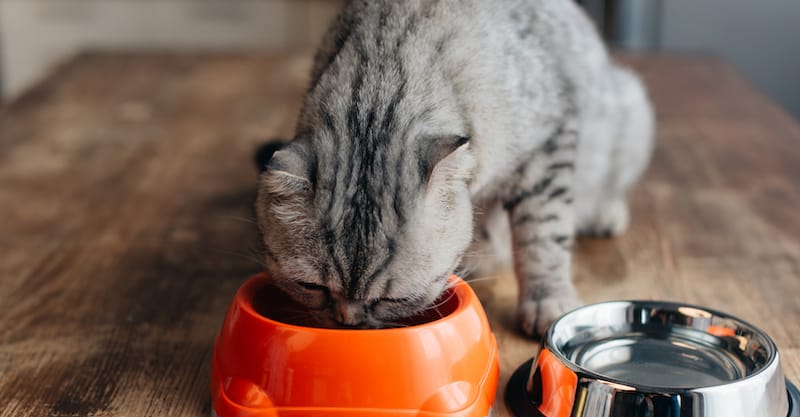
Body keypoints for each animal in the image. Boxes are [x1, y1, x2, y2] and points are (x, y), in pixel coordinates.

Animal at [253, 0, 652, 334]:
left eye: (393, 299)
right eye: (311, 287)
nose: (348, 322)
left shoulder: (549, 145)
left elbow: (543, 236)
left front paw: (548, 300)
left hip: (628, 113)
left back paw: (605, 213)